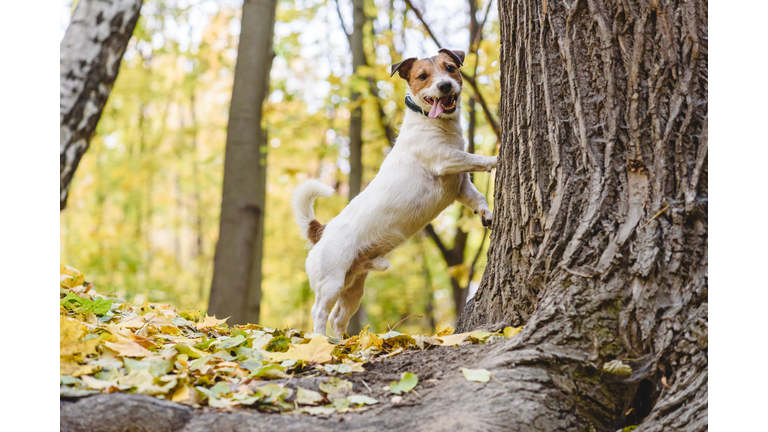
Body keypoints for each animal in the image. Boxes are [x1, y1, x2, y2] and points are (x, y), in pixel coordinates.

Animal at [292, 49, 496, 336]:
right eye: (423, 76)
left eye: (450, 68)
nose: (445, 85)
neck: (434, 123)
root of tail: (321, 231)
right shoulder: (446, 160)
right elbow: (476, 158)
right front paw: (498, 157)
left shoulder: (460, 185)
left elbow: (477, 197)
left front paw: (487, 214)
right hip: (331, 282)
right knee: (319, 312)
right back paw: (320, 340)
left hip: (354, 285)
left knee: (338, 317)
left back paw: (341, 343)